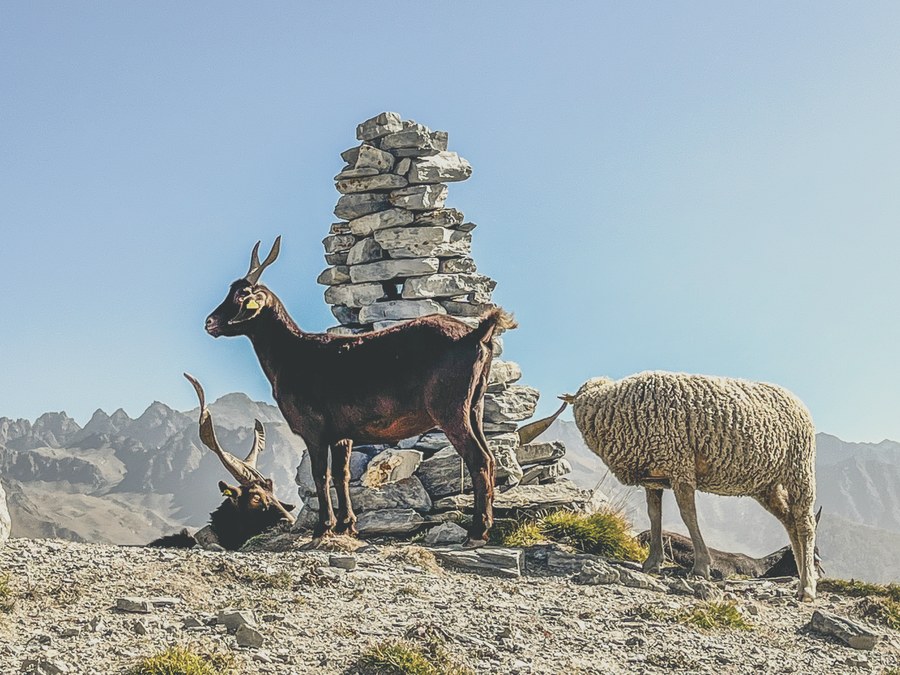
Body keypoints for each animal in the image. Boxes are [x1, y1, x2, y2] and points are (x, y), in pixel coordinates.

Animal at [205, 237, 515, 547]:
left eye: (242, 295)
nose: (209, 322)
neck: (292, 354)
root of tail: (477, 334)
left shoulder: (314, 430)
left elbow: (321, 475)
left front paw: (323, 528)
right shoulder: (342, 434)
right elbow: (341, 475)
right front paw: (347, 526)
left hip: (451, 410)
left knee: (478, 459)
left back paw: (477, 531)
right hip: (474, 406)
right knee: (489, 458)